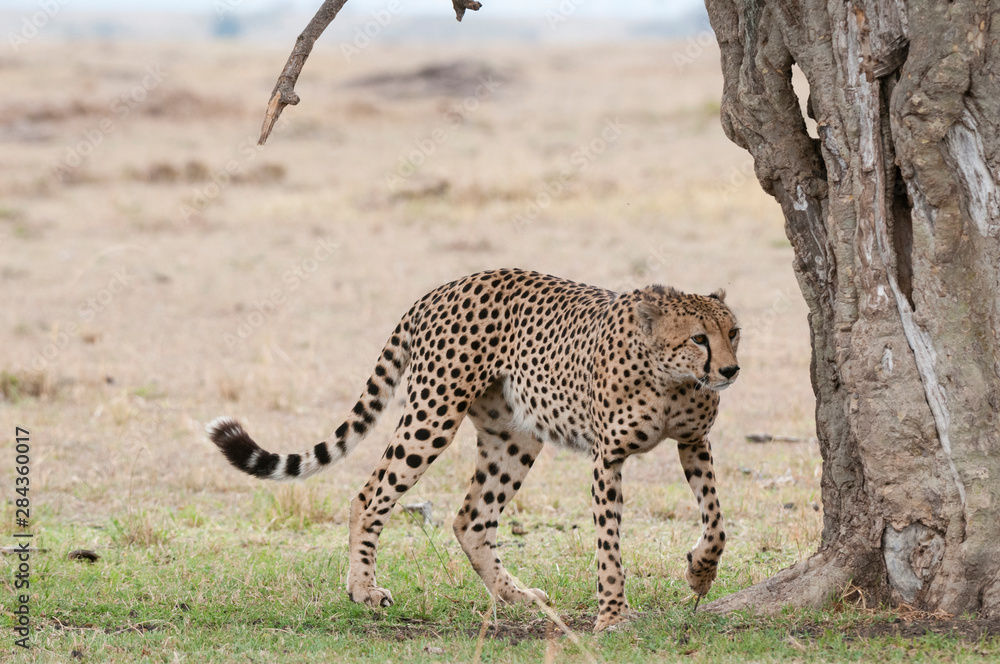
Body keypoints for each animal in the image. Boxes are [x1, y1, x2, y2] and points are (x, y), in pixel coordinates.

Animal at [207, 268, 740, 632]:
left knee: (471, 519)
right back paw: (363, 589)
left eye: (733, 332)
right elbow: (609, 544)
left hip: (515, 436)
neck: (673, 380)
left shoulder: (694, 442)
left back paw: (516, 596)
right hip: (434, 416)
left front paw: (699, 575)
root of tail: (445, 286)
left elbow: (716, 522)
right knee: (369, 495)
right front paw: (612, 615)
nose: (731, 370)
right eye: (699, 337)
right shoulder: (607, 457)